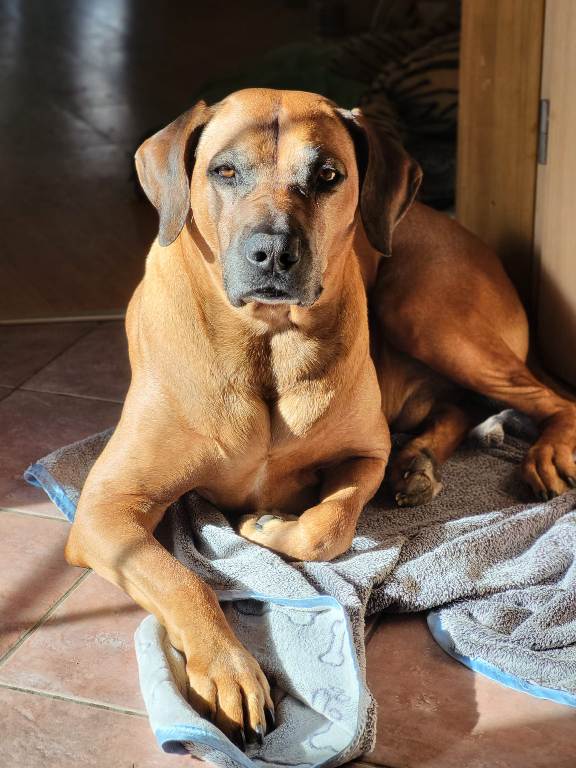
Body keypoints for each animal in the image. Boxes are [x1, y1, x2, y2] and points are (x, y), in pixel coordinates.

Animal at [65, 89, 576, 748]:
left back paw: (536, 456)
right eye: (224, 171)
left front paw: (267, 527)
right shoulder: (107, 506)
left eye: (328, 175)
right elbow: (181, 578)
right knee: (461, 405)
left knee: (548, 400)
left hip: (428, 312)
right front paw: (229, 671)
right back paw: (419, 463)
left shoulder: (364, 452)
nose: (272, 253)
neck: (264, 341)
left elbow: (326, 529)